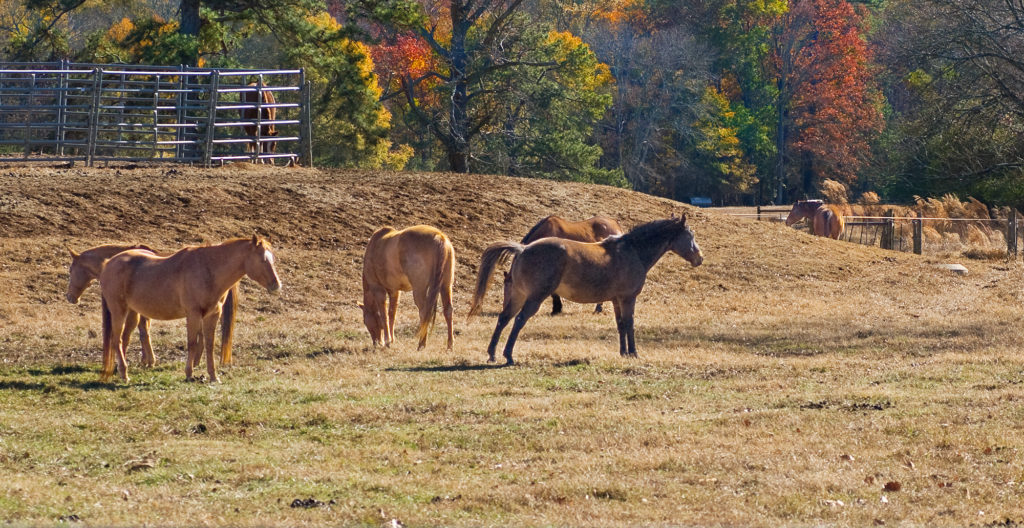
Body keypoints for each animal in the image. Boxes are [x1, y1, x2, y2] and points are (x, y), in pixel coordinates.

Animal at [65, 243, 239, 366]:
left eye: (70, 270)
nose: (70, 297)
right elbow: (144, 330)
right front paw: (147, 360)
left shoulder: (136, 311)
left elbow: (137, 332)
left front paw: (146, 360)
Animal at [98, 237, 280, 380]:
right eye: (263, 260)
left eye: (272, 259)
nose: (277, 285)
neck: (208, 269)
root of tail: (108, 263)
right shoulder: (193, 314)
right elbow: (192, 343)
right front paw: (189, 373)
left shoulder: (212, 315)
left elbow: (209, 344)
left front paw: (213, 376)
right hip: (118, 311)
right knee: (116, 340)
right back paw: (124, 374)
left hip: (133, 313)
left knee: (125, 339)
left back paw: (120, 369)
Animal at [473, 212, 704, 364]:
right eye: (690, 235)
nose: (699, 258)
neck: (632, 251)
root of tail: (522, 249)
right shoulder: (628, 298)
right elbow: (629, 324)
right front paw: (633, 352)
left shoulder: (616, 300)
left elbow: (620, 324)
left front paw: (623, 352)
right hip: (534, 298)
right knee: (519, 320)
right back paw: (508, 355)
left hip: (518, 296)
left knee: (504, 318)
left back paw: (492, 353)